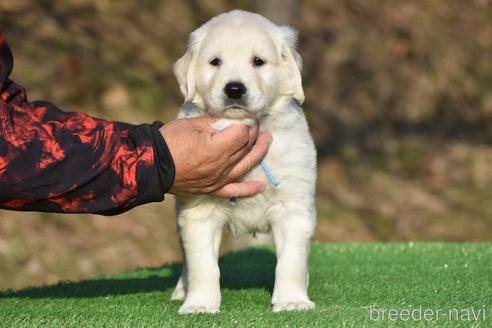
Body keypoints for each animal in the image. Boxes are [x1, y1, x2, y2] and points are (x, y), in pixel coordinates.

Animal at [170, 9, 316, 314]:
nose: (234, 89)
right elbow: (203, 265)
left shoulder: (293, 207)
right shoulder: (199, 212)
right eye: (215, 61)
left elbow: (291, 263)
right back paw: (181, 290)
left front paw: (292, 300)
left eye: (258, 61)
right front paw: (200, 304)